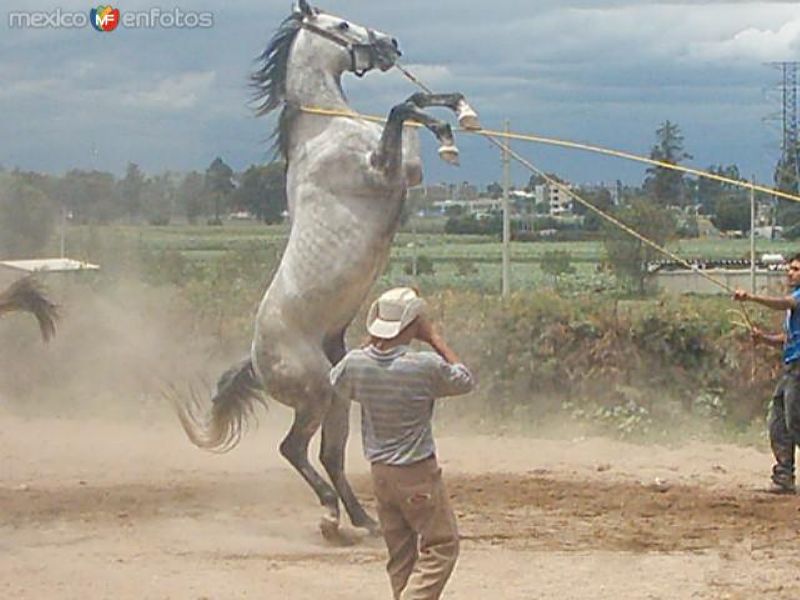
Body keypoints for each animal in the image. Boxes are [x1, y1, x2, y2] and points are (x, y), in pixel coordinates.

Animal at [175, 0, 476, 540]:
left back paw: (364, 520)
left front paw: (458, 114)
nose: (391, 44)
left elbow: (411, 102)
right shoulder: (385, 170)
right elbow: (401, 110)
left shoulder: (405, 169)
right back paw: (332, 516)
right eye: (340, 24)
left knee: (330, 454)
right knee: (294, 449)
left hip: (338, 401)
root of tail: (258, 358)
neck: (328, 128)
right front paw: (449, 133)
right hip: (315, 395)